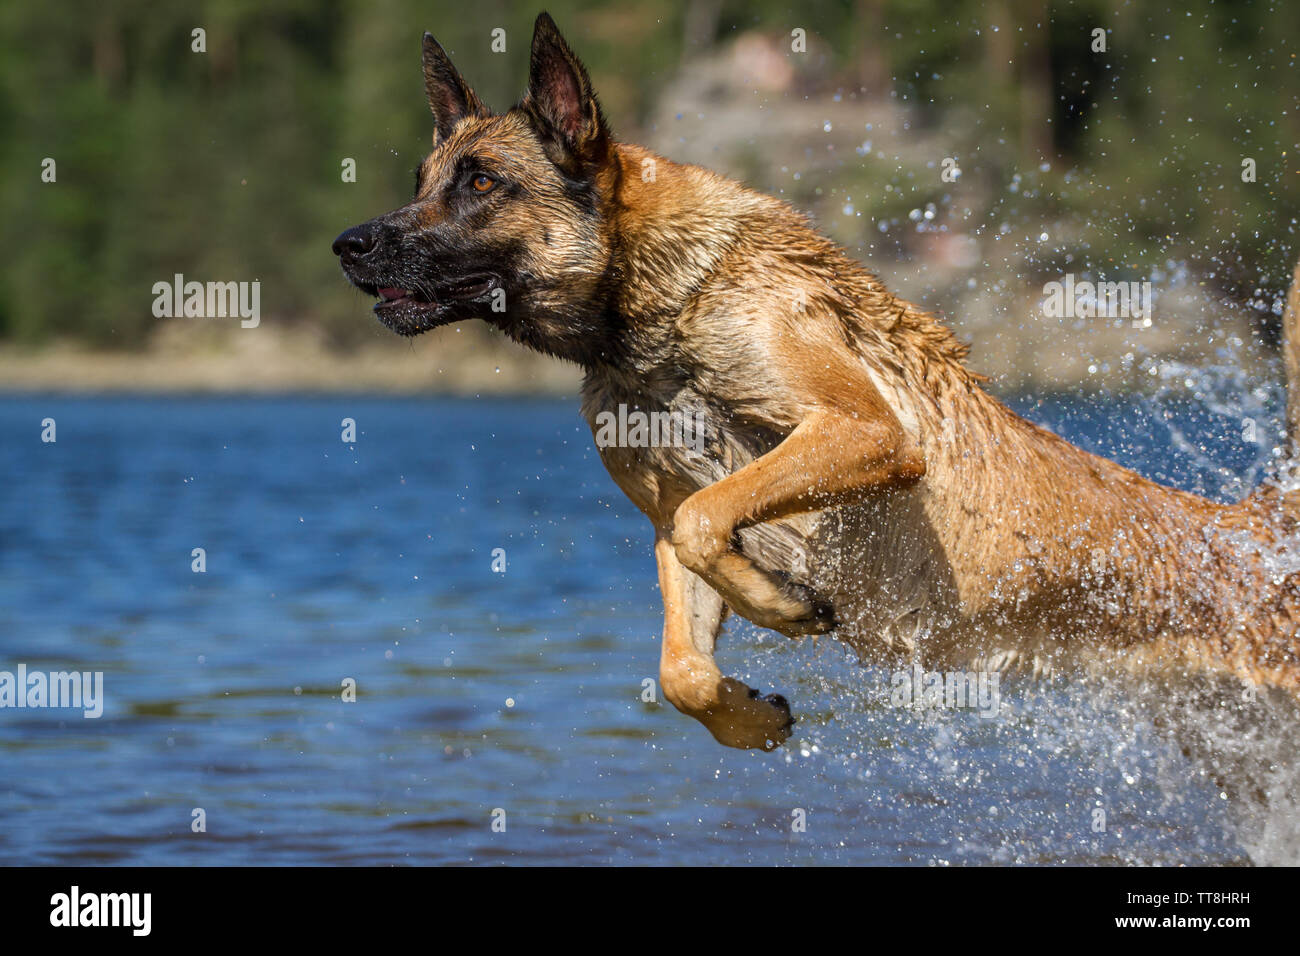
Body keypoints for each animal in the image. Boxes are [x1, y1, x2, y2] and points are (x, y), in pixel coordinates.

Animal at [332, 11, 1300, 749]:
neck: (650, 323)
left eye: (481, 182)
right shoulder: (663, 517)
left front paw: (784, 607)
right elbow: (680, 658)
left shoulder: (862, 432)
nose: (348, 244)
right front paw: (747, 713)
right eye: (421, 179)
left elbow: (711, 515)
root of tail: (1257, 533)